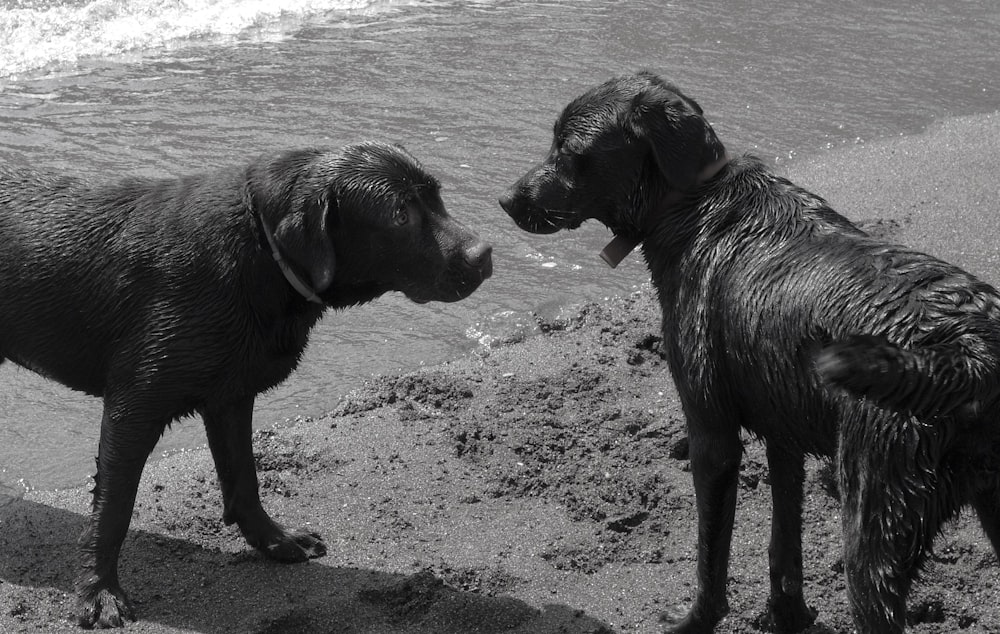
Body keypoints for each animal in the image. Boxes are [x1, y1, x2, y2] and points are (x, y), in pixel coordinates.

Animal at [0, 141, 492, 624]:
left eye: (437, 198)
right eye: (400, 213)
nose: (485, 254)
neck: (260, 249)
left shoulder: (231, 397)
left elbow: (245, 477)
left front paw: (275, 540)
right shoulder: (134, 406)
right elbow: (113, 511)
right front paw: (99, 592)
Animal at [504, 70, 1000, 632]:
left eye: (569, 150)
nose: (506, 199)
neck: (693, 202)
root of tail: (971, 350)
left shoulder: (711, 434)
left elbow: (711, 558)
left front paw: (693, 622)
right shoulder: (783, 434)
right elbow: (783, 548)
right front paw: (787, 615)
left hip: (873, 517)